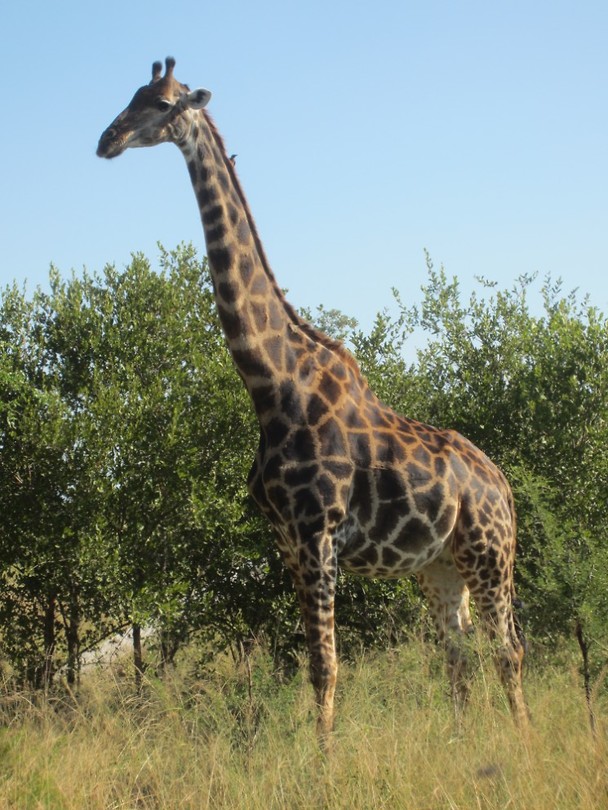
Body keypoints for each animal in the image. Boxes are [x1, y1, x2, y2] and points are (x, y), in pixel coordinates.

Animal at [97, 58, 528, 744]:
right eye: (131, 95)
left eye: (162, 104)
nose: (106, 140)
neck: (271, 384)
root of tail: (504, 487)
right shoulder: (288, 543)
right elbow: (312, 667)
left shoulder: (319, 534)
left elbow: (327, 668)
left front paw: (324, 764)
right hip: (440, 566)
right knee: (458, 655)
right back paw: (464, 743)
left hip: (490, 554)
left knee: (508, 650)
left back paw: (524, 742)